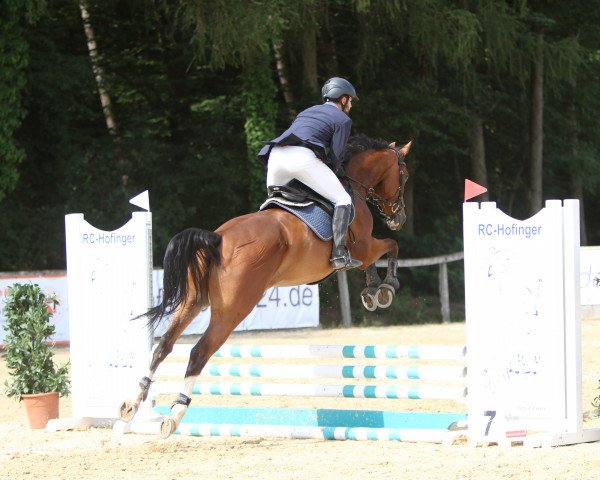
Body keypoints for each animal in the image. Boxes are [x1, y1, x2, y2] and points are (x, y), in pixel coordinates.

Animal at [119, 133, 410, 436]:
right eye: (404, 175)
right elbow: (391, 246)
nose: (398, 218)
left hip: (193, 301)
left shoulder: (364, 251)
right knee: (199, 352)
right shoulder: (364, 247)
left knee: (163, 344)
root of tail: (217, 239)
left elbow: (378, 258)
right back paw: (175, 413)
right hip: (233, 310)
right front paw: (385, 288)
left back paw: (133, 403)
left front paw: (372, 291)